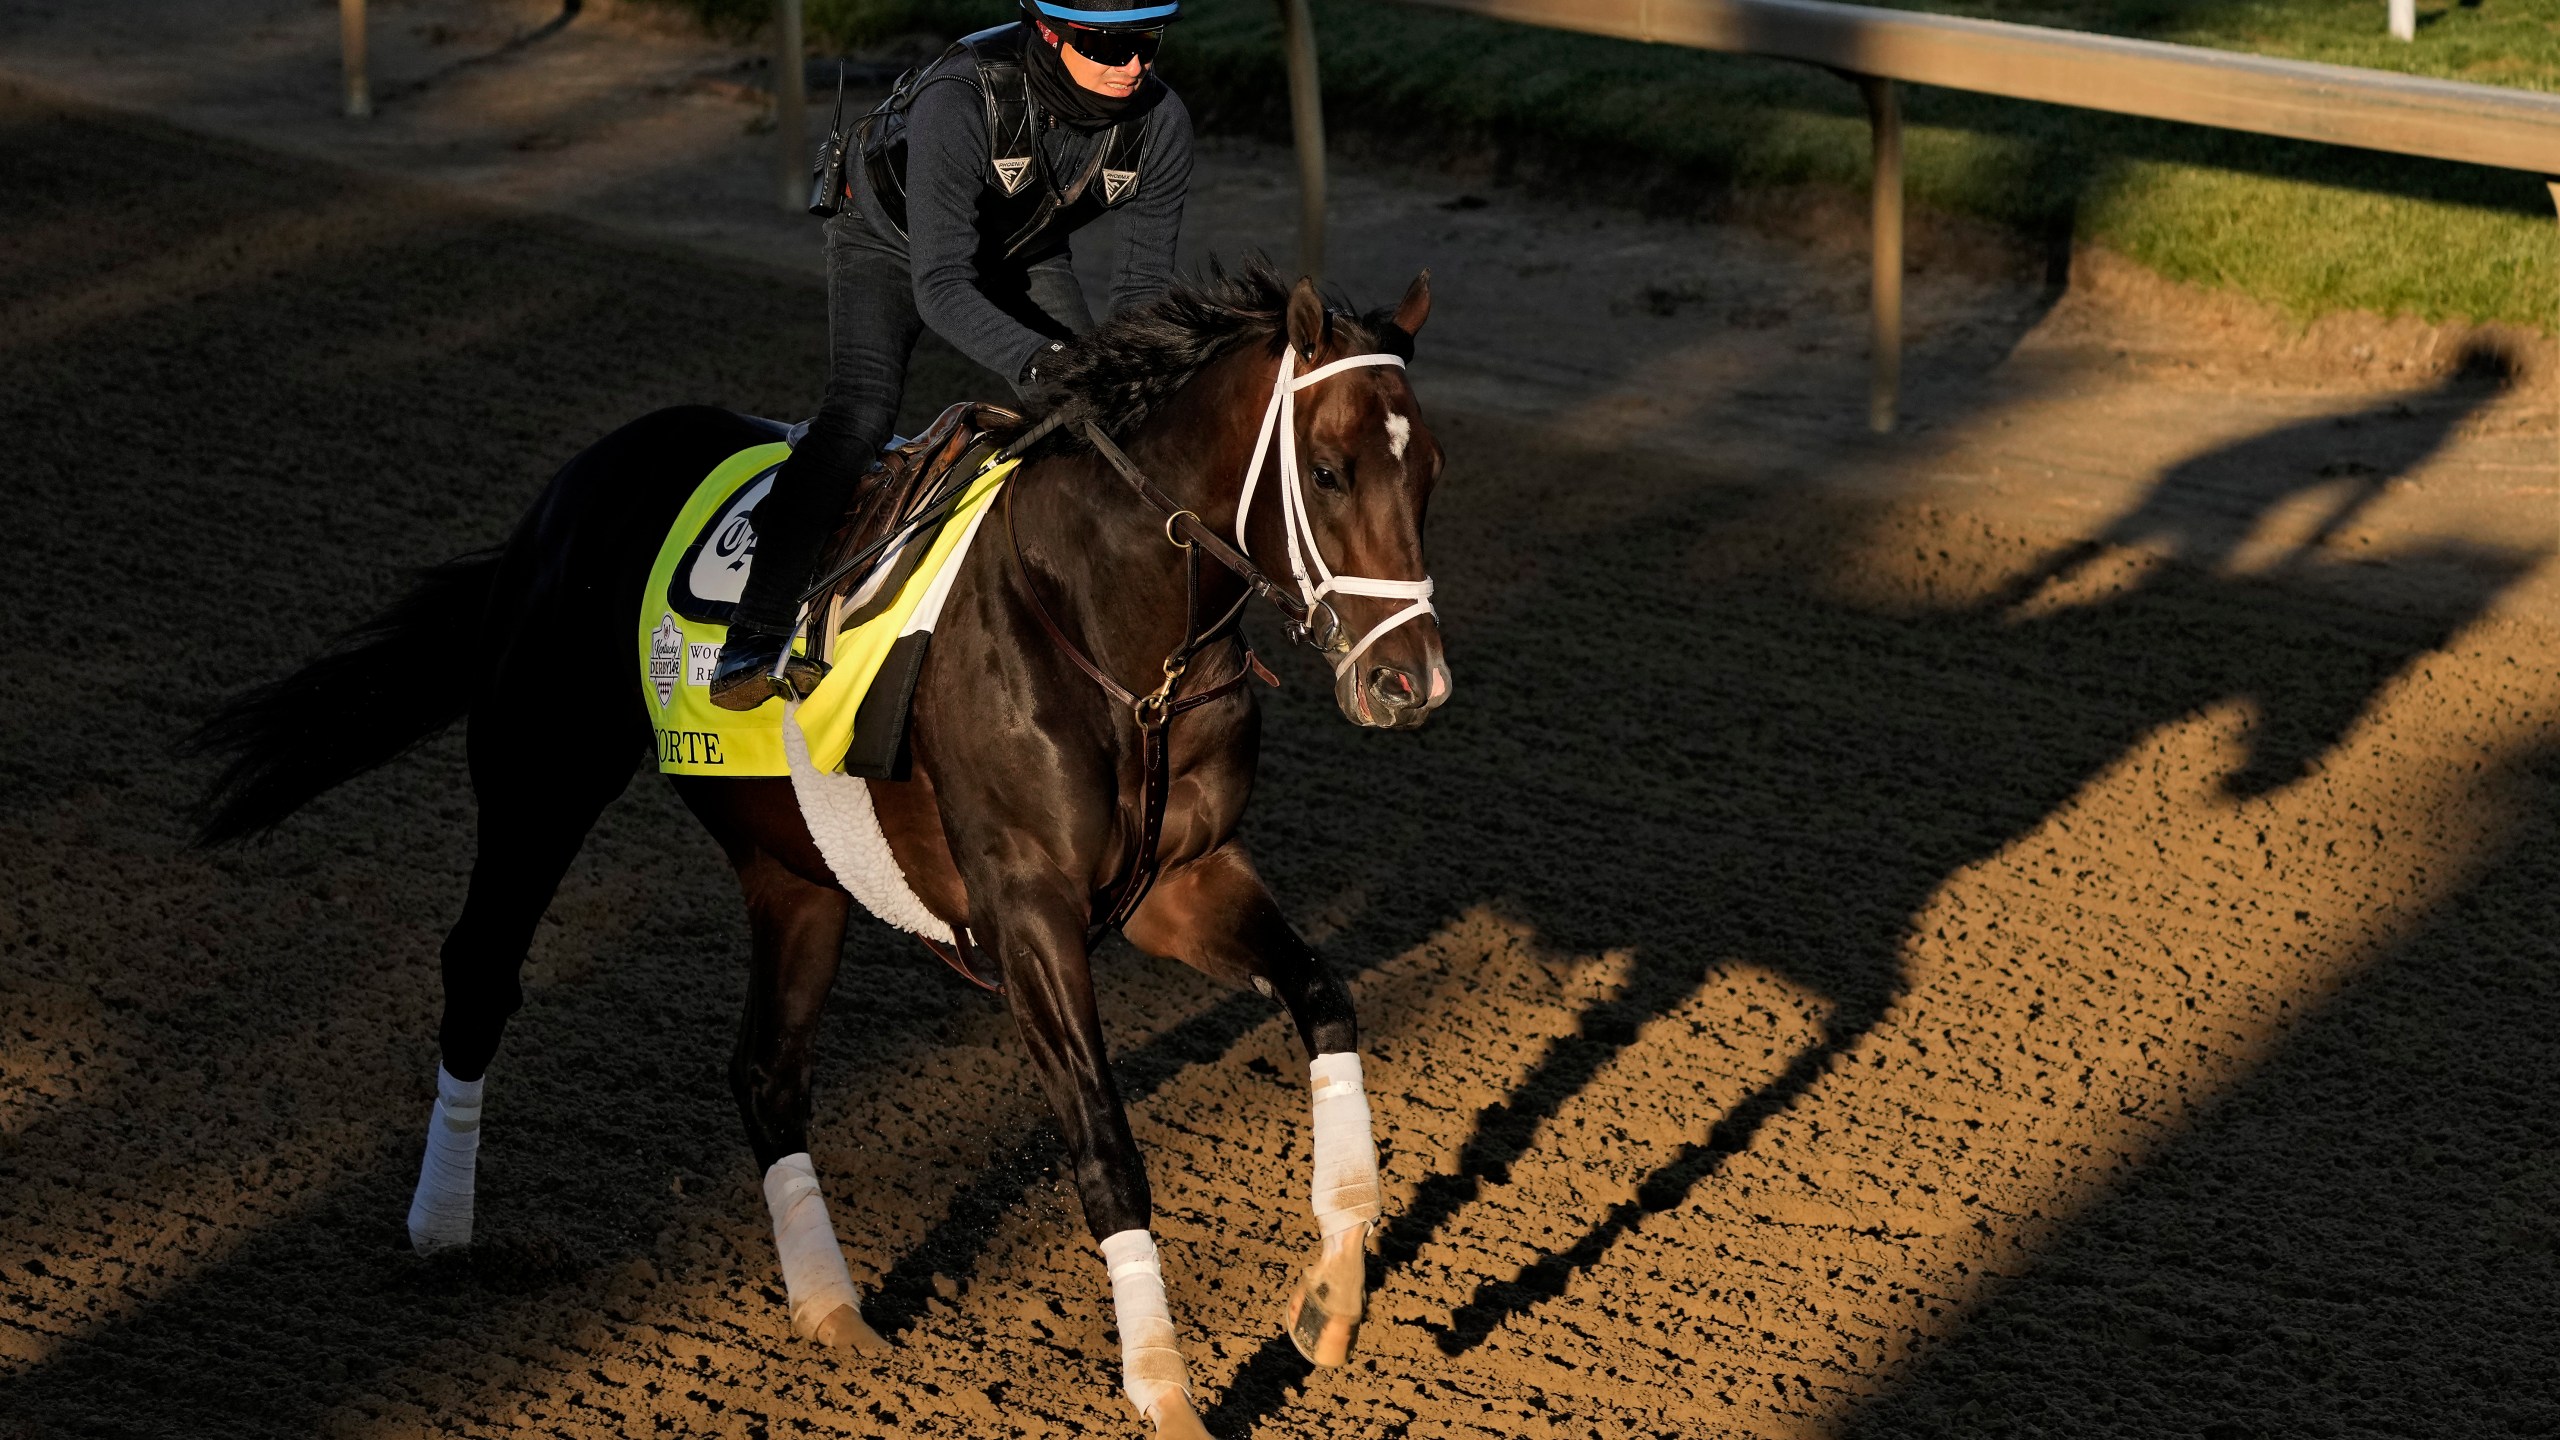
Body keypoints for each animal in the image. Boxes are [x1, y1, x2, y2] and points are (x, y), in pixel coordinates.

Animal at [189, 263, 1454, 1424]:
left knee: (765, 1068)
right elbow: (1104, 1145)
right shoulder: (1028, 908)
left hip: (794, 869)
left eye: (1429, 474)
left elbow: (1324, 998)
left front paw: (1332, 1293)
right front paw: (1165, 1395)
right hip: (540, 776)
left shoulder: (1178, 881)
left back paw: (830, 1310)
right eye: (1328, 469)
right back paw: (441, 1229)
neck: (1109, 632)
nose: (1412, 684)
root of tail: (574, 482)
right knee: (481, 972)